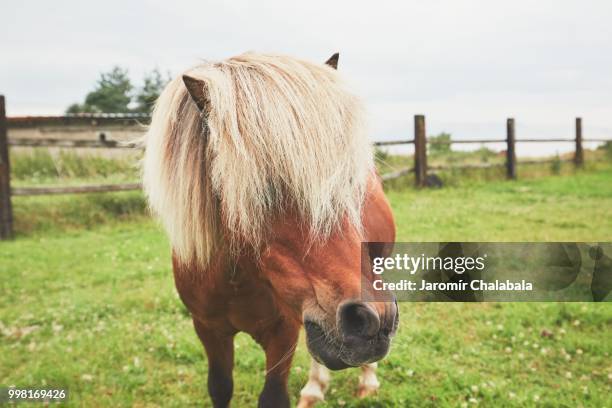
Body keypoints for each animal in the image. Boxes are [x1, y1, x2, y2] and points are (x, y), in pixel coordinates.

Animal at [143, 52, 402, 406]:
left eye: (349, 181)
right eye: (262, 188)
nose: (373, 320)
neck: (236, 280)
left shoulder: (283, 333)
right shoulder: (208, 330)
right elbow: (220, 387)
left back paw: (365, 381)